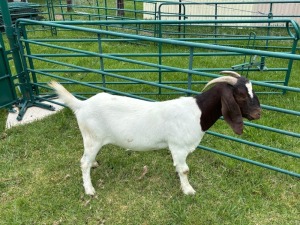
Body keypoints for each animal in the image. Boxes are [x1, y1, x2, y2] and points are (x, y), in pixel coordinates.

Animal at [48, 71, 260, 195]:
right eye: (241, 95)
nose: (258, 113)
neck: (196, 112)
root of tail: (81, 105)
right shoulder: (178, 147)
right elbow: (185, 169)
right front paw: (188, 190)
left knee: (87, 159)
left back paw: (94, 165)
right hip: (92, 137)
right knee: (83, 162)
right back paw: (90, 190)